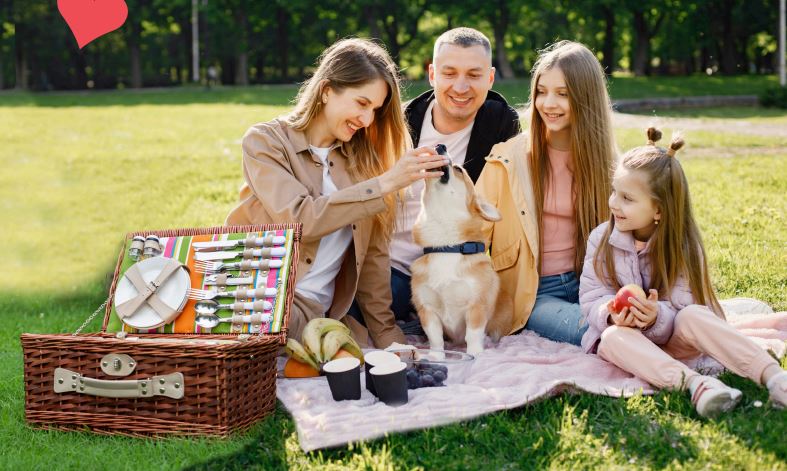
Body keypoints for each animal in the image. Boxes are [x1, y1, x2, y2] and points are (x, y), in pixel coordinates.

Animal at [410, 157, 516, 356]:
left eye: (459, 169)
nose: (440, 149)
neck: (446, 247)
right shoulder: (427, 310)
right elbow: (435, 337)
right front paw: (436, 356)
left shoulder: (476, 307)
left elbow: (473, 334)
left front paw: (475, 354)